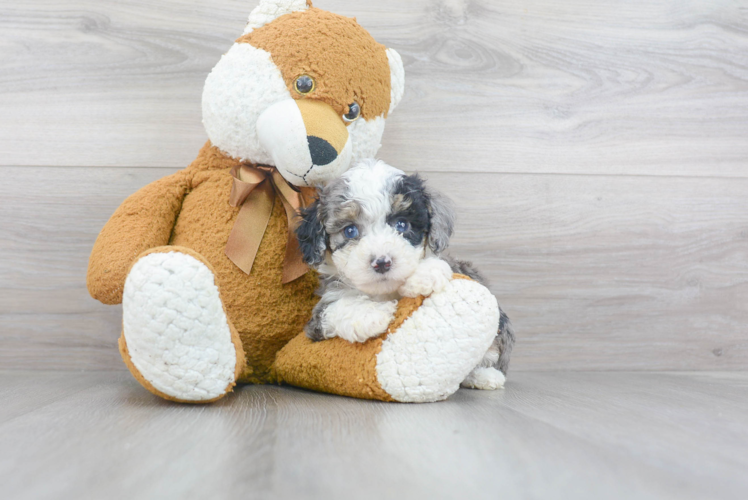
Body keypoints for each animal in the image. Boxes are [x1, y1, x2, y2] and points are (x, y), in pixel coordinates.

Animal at [296, 158, 516, 388]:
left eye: (402, 224)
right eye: (350, 231)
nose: (382, 262)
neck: (384, 292)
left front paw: (426, 273)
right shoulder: (316, 322)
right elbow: (336, 307)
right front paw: (371, 315)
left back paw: (486, 376)